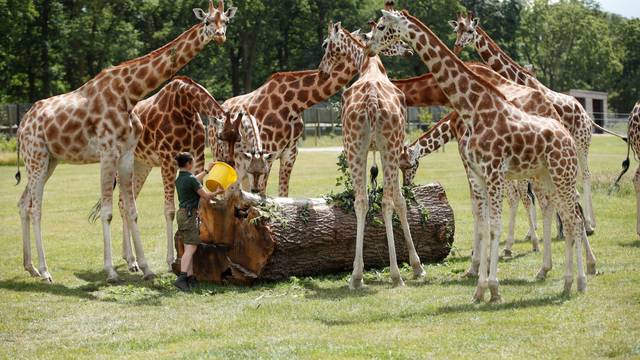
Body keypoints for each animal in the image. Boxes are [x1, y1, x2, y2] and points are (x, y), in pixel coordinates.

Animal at [15, 1, 240, 284]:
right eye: (208, 21)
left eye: (226, 22)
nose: (220, 36)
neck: (129, 93)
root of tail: (22, 125)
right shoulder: (108, 152)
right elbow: (108, 211)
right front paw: (111, 271)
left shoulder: (126, 154)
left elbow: (131, 210)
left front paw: (145, 267)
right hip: (36, 156)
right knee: (35, 207)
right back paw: (45, 271)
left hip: (50, 161)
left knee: (23, 203)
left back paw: (30, 267)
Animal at [320, 21, 424, 286]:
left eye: (325, 45)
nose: (322, 70)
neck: (369, 66)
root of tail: (373, 101)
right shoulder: (395, 150)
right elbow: (400, 200)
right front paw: (417, 266)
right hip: (387, 147)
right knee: (386, 201)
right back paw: (396, 275)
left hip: (354, 147)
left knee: (362, 201)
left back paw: (356, 276)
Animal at [450, 12, 600, 233]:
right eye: (456, 30)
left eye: (469, 30)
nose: (457, 47)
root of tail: (586, 114)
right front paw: (534, 231)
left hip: (582, 142)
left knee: (587, 174)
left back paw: (589, 224)